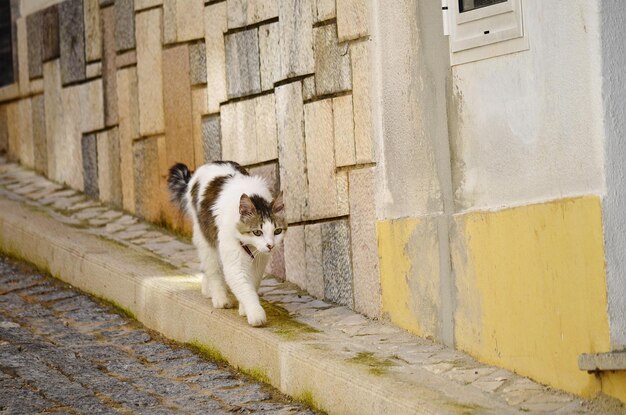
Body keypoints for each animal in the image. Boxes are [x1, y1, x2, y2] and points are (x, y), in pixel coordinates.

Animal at [165, 161, 284, 326]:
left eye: (277, 231)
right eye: (257, 232)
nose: (270, 245)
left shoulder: (259, 262)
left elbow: (252, 284)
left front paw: (244, 309)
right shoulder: (234, 264)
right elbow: (244, 288)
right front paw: (255, 313)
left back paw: (206, 289)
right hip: (206, 241)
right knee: (213, 270)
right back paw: (220, 299)